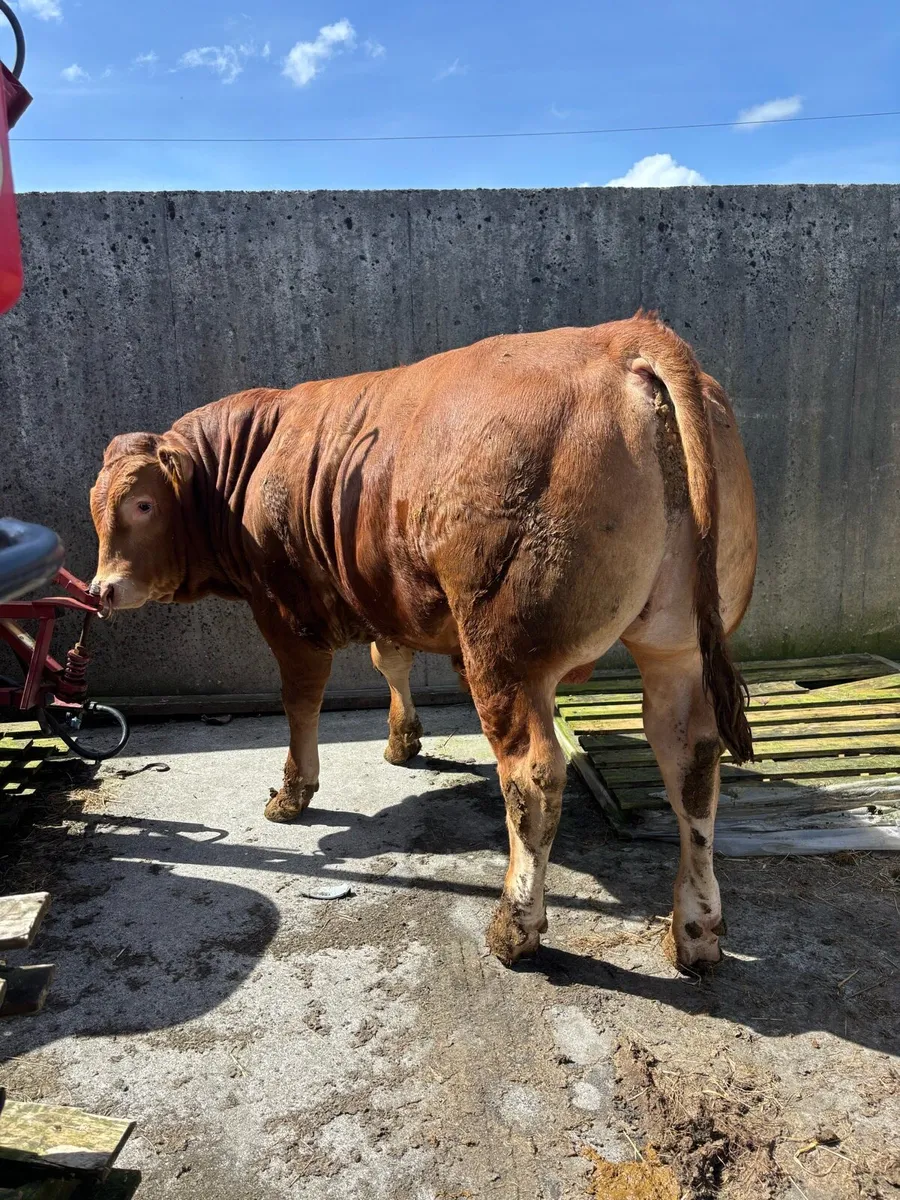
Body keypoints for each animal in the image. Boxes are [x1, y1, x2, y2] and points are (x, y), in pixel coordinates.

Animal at [89, 314, 757, 970]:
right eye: (96, 507)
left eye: (143, 504)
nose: (100, 589)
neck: (251, 463)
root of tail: (623, 337)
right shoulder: (385, 589)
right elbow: (392, 659)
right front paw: (401, 740)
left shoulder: (284, 610)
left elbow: (301, 702)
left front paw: (292, 792)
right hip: (678, 648)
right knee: (692, 762)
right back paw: (696, 932)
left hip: (506, 650)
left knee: (534, 775)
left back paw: (515, 928)